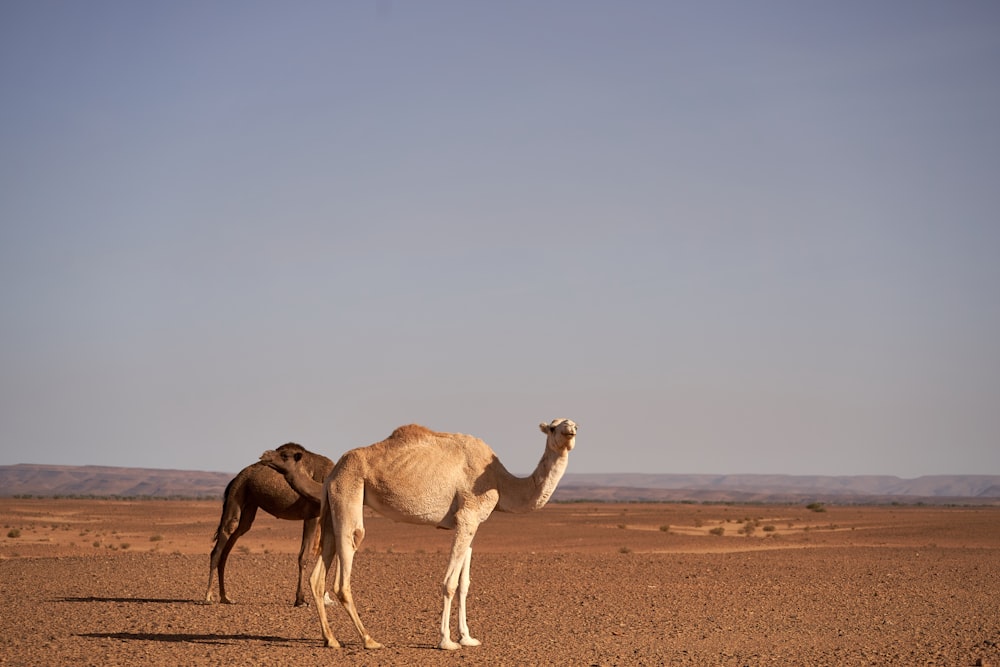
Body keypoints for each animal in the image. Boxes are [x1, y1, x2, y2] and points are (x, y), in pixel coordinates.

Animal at [205, 440, 334, 608]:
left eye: (284, 455)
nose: (265, 455)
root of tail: (235, 478)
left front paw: (324, 599)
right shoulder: (312, 515)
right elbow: (304, 556)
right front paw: (300, 600)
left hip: (249, 504)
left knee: (232, 542)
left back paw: (225, 597)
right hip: (237, 492)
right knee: (224, 537)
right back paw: (208, 596)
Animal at [262, 420, 580, 648]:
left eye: (571, 422)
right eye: (554, 426)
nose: (571, 430)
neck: (499, 481)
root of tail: (333, 471)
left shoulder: (471, 525)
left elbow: (464, 584)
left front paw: (468, 638)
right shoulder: (466, 517)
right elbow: (449, 583)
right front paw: (447, 642)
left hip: (331, 504)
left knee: (319, 576)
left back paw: (331, 639)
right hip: (349, 490)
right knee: (346, 566)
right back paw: (369, 640)